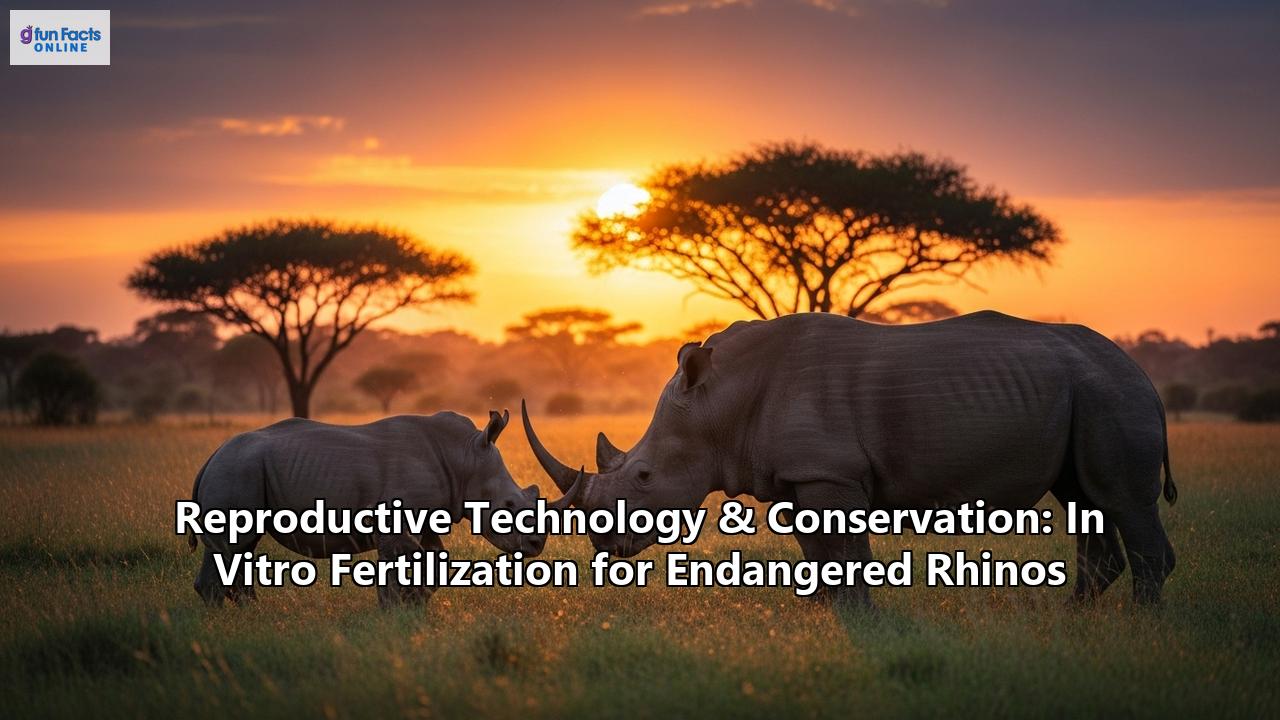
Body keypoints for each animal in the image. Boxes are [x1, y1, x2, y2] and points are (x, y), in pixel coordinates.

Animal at [188, 410, 581, 607]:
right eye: (509, 504)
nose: (536, 546)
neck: (465, 458)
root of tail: (211, 456)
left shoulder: (427, 519)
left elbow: (431, 566)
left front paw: (415, 610)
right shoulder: (394, 522)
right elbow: (395, 575)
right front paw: (395, 616)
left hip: (240, 468)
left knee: (237, 550)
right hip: (236, 469)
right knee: (234, 547)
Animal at [524, 311, 1178, 608]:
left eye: (643, 476)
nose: (603, 547)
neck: (719, 404)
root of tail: (1147, 378)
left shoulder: (829, 472)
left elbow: (846, 554)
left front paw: (861, 617)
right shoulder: (798, 476)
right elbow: (818, 552)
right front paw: (825, 611)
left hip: (1110, 395)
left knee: (1119, 499)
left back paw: (1136, 630)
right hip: (1085, 393)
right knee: (1085, 500)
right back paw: (1070, 621)